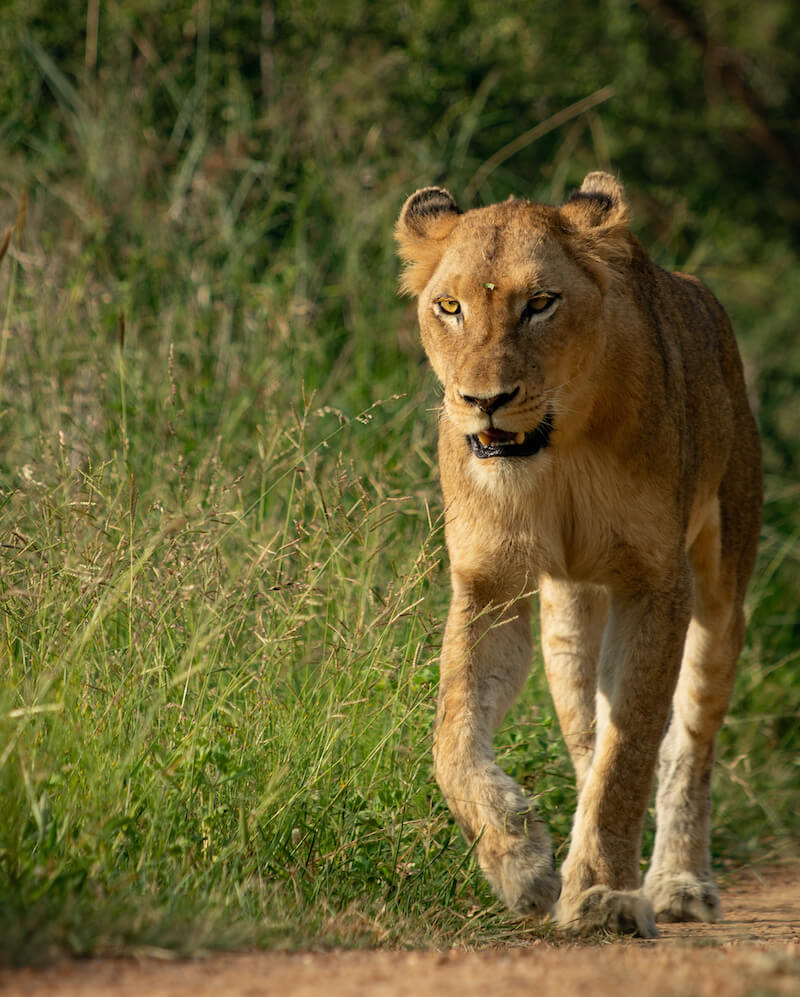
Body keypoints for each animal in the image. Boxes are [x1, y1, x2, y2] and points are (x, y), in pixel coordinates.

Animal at [394, 172, 762, 937]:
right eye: (449, 306)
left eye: (540, 303)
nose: (485, 400)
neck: (556, 451)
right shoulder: (490, 584)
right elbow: (453, 738)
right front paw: (521, 865)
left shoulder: (656, 583)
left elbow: (634, 751)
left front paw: (602, 893)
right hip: (568, 620)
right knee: (591, 729)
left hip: (722, 587)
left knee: (688, 742)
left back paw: (679, 883)